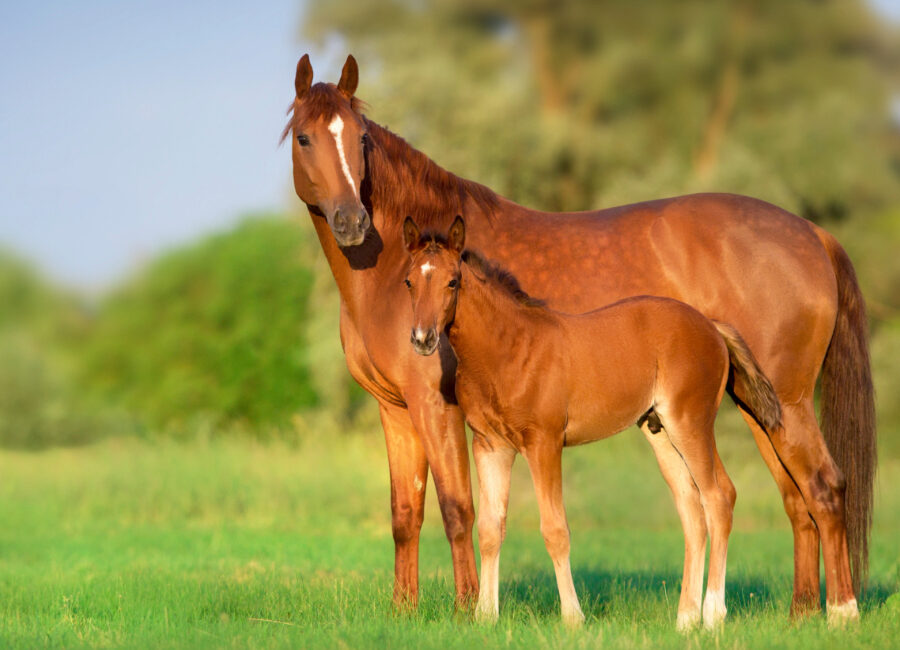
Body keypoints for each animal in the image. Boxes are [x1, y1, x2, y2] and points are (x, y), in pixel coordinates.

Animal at [400, 216, 780, 628]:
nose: (422, 339)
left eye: (452, 281)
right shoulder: (490, 445)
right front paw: (486, 617)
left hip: (691, 422)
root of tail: (712, 325)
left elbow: (555, 530)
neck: (509, 350)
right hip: (660, 431)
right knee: (692, 512)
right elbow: (489, 529)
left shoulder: (544, 443)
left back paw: (712, 615)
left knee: (719, 497)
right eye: (408, 281)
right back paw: (685, 620)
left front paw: (573, 617)